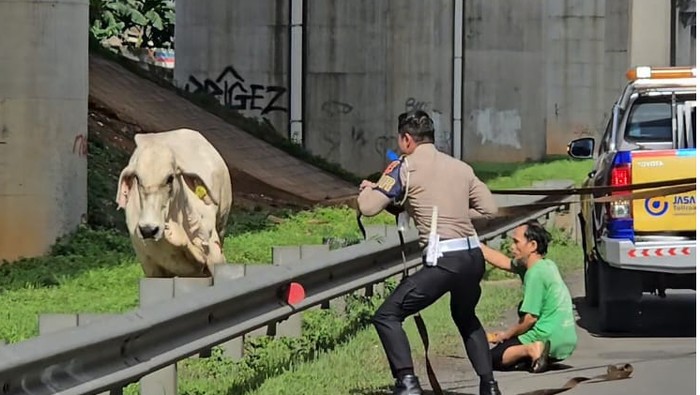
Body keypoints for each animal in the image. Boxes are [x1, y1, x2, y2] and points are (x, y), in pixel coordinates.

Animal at [115, 128, 232, 276]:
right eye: (137, 178)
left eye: (170, 178)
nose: (148, 230)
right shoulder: (150, 266)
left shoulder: (215, 254)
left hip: (222, 222)